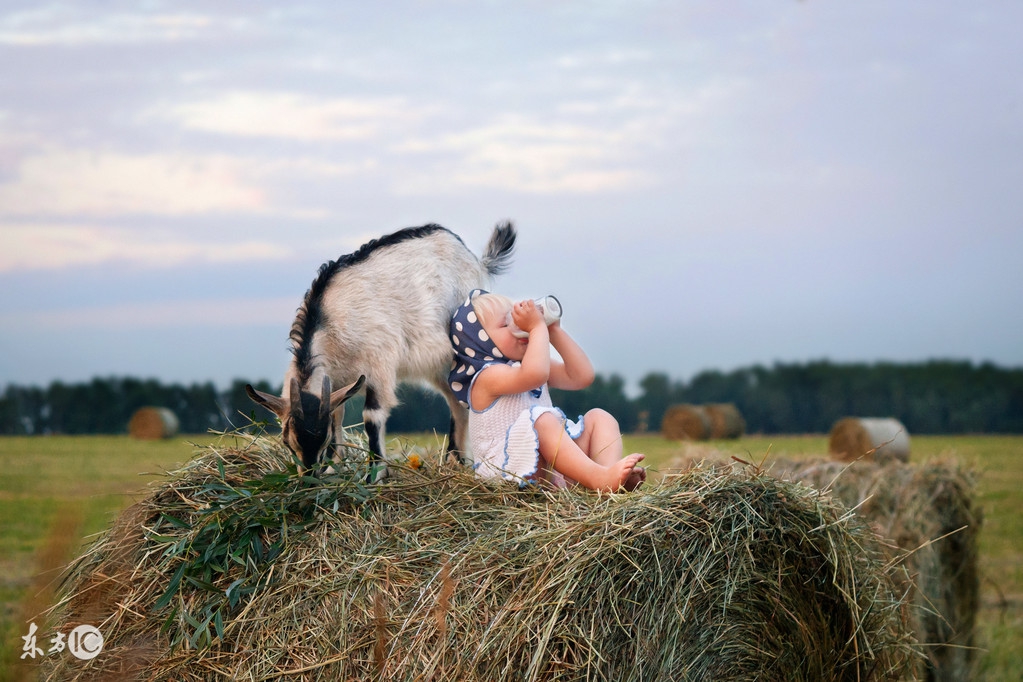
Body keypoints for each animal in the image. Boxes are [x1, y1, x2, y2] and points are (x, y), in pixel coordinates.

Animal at [246, 221, 511, 478]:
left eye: (323, 439)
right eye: (286, 442)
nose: (309, 477)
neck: (330, 320)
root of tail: (477, 262)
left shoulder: (378, 363)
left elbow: (372, 417)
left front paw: (375, 474)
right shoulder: (337, 380)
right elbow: (337, 414)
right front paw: (334, 467)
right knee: (456, 402)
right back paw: (455, 461)